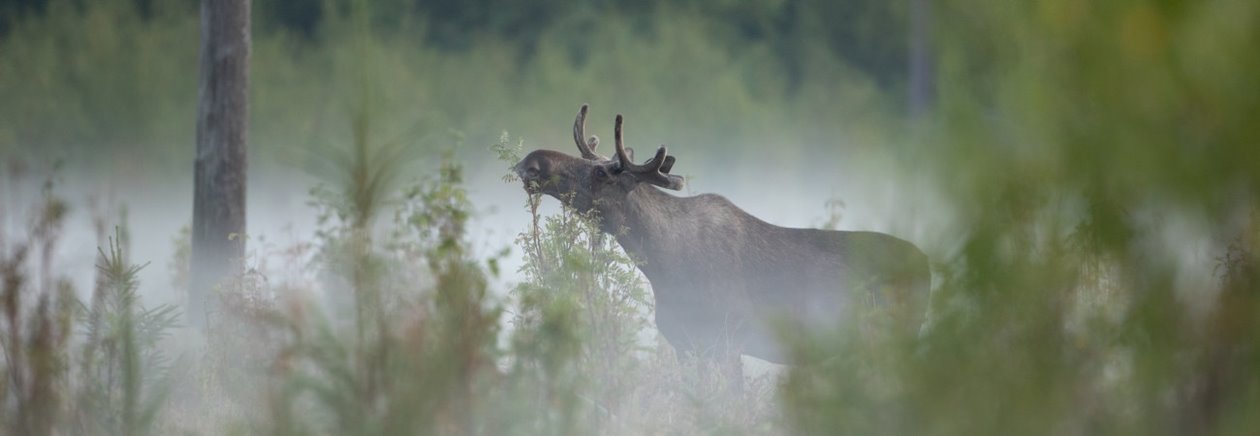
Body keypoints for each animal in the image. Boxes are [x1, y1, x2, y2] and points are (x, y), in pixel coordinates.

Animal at [509, 104, 927, 365]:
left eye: (598, 172)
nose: (530, 162)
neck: (662, 263)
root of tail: (928, 267)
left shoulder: (727, 341)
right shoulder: (685, 344)